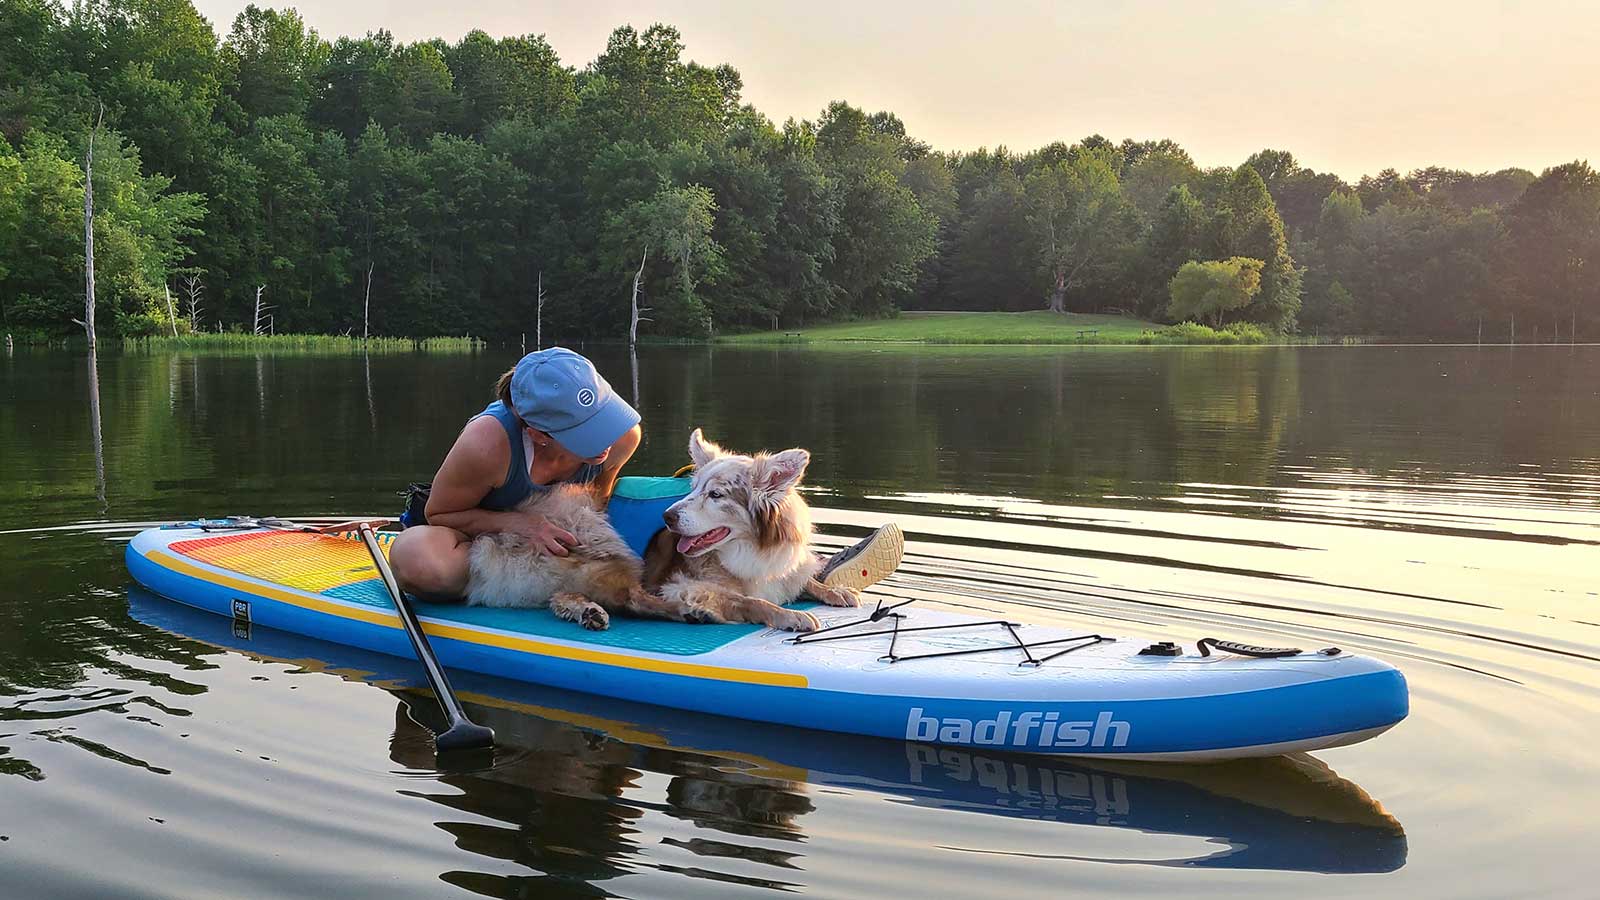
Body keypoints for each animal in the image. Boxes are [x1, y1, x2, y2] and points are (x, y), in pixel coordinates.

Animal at [636, 425, 864, 630]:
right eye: (693, 489)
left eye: (715, 494)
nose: (666, 517)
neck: (750, 549)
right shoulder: (681, 587)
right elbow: (751, 601)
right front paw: (790, 616)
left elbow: (804, 580)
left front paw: (834, 591)